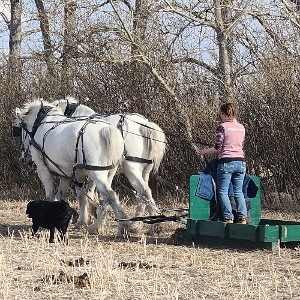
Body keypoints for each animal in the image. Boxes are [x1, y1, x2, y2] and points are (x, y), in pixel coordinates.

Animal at [15, 99, 127, 236]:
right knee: (104, 198)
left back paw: (121, 227)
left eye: (20, 129)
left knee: (110, 195)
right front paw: (80, 220)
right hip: (109, 172)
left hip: (96, 173)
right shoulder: (68, 175)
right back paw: (98, 226)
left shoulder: (43, 170)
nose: (24, 159)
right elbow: (70, 196)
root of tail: (107, 129)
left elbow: (51, 195)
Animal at [55, 96, 166, 234]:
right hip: (144, 170)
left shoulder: (92, 171)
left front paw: (88, 218)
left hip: (131, 168)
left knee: (142, 192)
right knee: (144, 194)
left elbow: (89, 193)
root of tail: (145, 125)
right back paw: (144, 225)